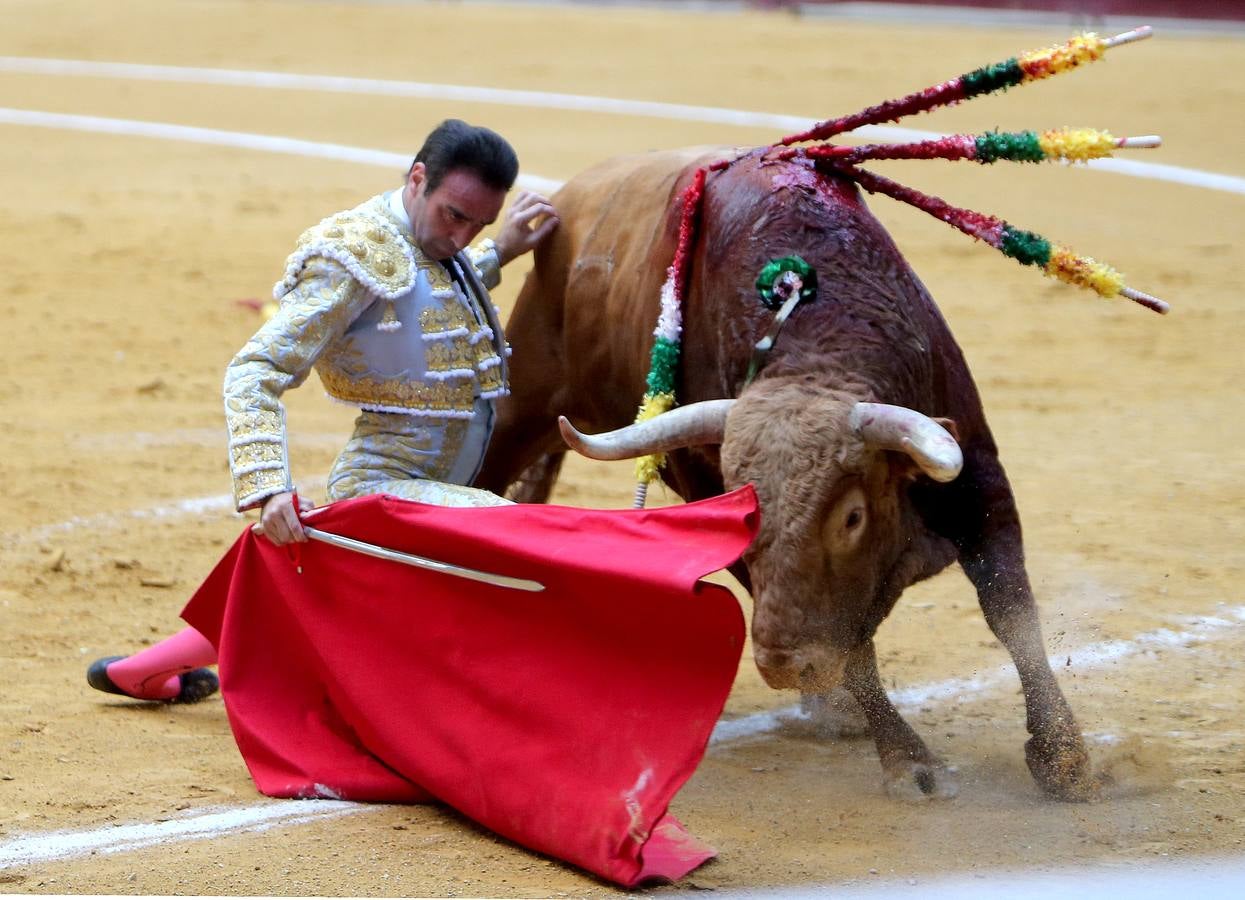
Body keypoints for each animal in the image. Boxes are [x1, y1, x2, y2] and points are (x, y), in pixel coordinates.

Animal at [480, 148, 1095, 801]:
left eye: (852, 517)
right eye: (747, 512)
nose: (782, 665)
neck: (815, 350)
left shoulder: (978, 479)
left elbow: (1010, 608)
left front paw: (1064, 759)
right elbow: (855, 648)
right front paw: (907, 762)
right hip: (522, 400)